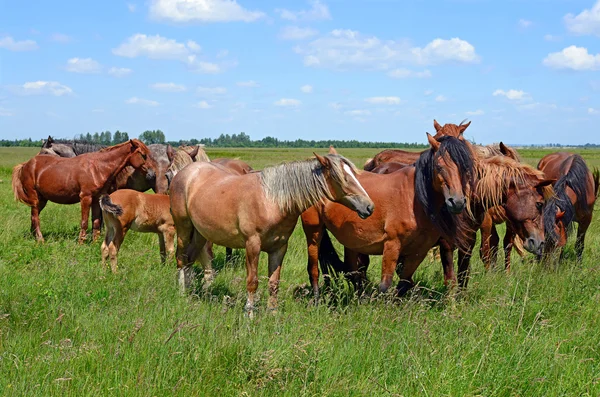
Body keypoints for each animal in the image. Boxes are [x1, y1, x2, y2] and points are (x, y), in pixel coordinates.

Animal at [13, 139, 151, 244]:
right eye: (143, 154)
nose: (151, 174)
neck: (97, 168)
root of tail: (26, 164)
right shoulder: (85, 198)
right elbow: (84, 222)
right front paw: (81, 242)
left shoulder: (96, 199)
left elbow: (96, 221)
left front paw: (95, 242)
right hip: (35, 198)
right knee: (35, 217)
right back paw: (40, 240)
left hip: (41, 200)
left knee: (33, 216)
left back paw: (34, 237)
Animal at [171, 153, 372, 314]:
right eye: (344, 178)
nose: (369, 207)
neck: (272, 201)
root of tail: (185, 172)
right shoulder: (252, 245)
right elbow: (252, 282)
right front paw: (249, 315)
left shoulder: (279, 248)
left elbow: (274, 283)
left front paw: (273, 315)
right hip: (183, 228)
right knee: (181, 259)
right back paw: (181, 294)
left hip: (200, 233)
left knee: (190, 259)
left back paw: (193, 293)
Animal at [302, 134, 476, 296]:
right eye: (439, 167)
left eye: (466, 168)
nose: (457, 202)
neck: (413, 199)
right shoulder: (392, 245)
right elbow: (385, 285)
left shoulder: (419, 251)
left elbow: (405, 282)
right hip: (314, 232)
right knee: (315, 268)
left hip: (350, 240)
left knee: (352, 271)